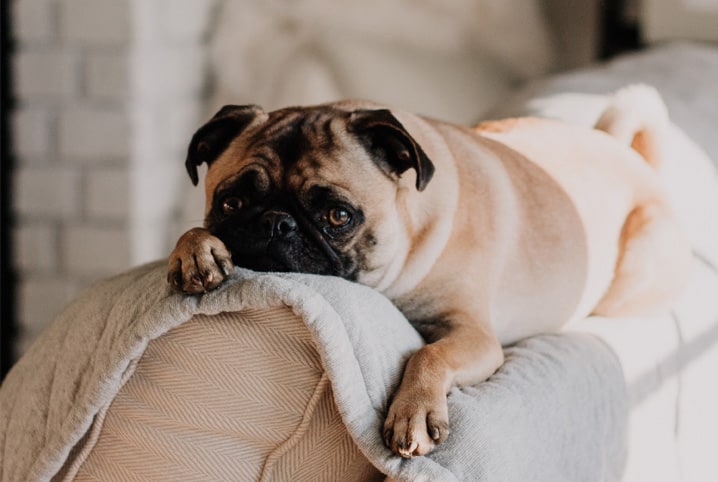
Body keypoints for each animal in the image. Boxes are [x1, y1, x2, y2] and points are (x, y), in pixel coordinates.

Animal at [167, 85, 692, 460]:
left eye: (338, 216)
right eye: (231, 203)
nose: (277, 224)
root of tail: (630, 156)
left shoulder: (474, 335)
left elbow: (428, 355)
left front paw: (414, 412)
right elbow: (192, 232)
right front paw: (195, 251)